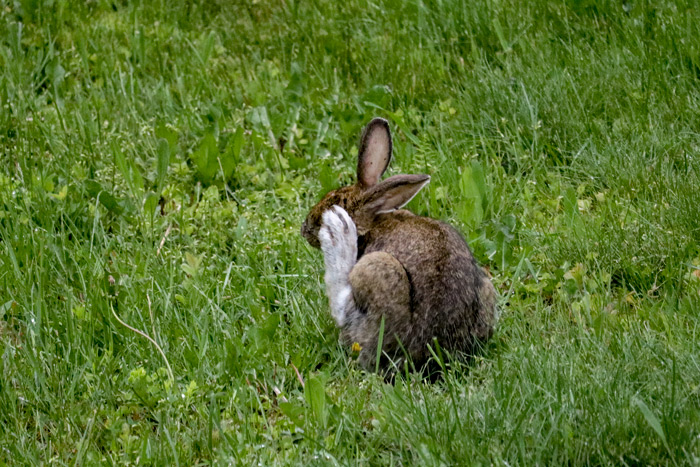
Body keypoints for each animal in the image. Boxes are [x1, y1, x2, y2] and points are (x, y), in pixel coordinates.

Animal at [302, 119, 498, 374]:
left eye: (326, 208)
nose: (305, 229)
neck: (373, 222)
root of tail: (420, 351)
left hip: (375, 270)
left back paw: (338, 235)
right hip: (486, 288)